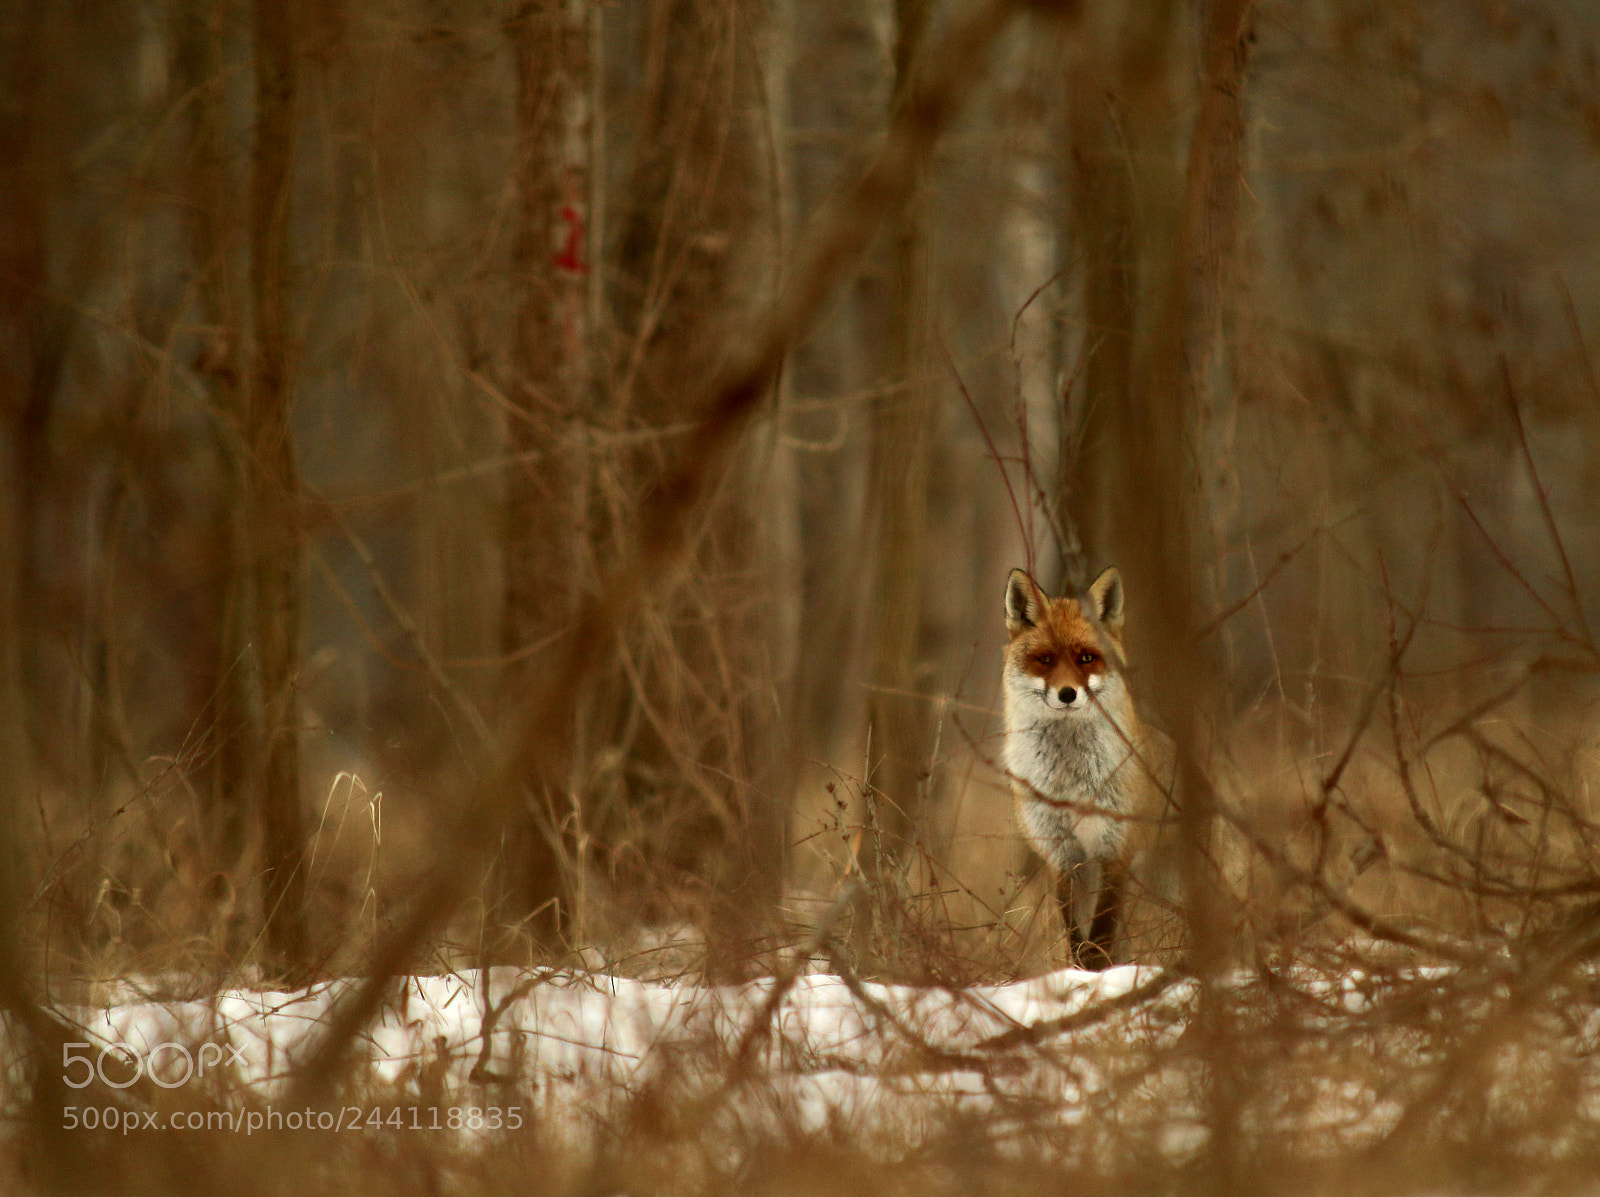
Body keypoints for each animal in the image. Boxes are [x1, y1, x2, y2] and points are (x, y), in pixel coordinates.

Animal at [1002, 566, 1170, 969]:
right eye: (1045, 659)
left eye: (1086, 658)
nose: (1067, 694)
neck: (1071, 783)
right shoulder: (1064, 854)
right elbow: (1076, 935)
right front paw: (1079, 974)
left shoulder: (1116, 847)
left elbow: (1102, 932)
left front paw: (1096, 976)